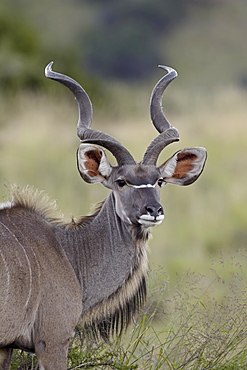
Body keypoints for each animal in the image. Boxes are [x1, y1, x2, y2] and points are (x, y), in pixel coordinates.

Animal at [0, 62, 206, 368]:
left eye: (159, 181)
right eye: (121, 182)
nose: (153, 211)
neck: (68, 252)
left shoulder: (6, 346)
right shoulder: (52, 340)